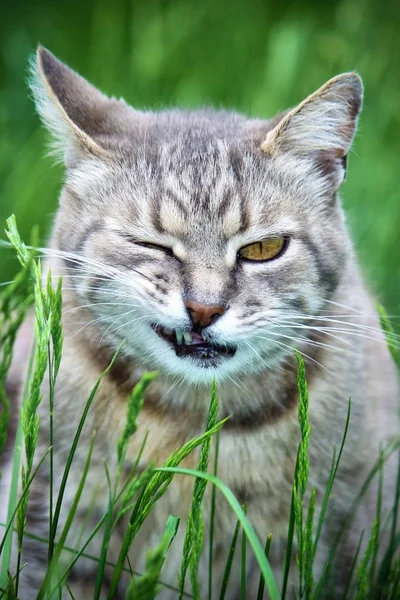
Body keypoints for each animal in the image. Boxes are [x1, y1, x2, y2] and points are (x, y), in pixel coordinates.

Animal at [0, 48, 398, 600]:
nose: (204, 309)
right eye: (150, 245)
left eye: (263, 249)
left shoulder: (325, 541)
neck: (190, 423)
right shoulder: (50, 522)